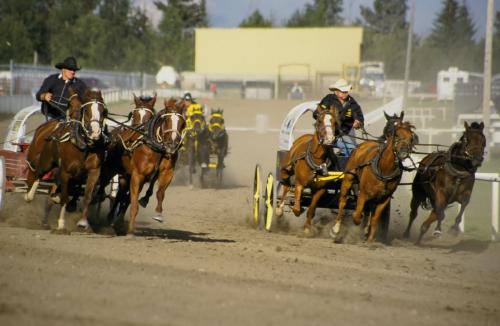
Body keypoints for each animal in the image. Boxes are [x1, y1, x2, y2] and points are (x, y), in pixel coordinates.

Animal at [23, 88, 108, 233]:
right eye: (86, 110)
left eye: (103, 111)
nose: (95, 133)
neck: (83, 145)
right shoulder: (65, 173)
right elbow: (64, 197)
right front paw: (61, 224)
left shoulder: (93, 172)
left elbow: (87, 197)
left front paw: (83, 222)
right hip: (46, 162)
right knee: (36, 174)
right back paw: (29, 196)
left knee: (51, 188)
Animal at [276, 108, 338, 236]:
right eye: (319, 121)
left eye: (335, 122)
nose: (329, 139)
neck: (316, 161)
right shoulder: (299, 183)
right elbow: (296, 208)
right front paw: (298, 209)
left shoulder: (320, 189)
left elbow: (311, 210)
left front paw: (307, 229)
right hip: (286, 171)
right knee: (285, 187)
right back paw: (279, 209)